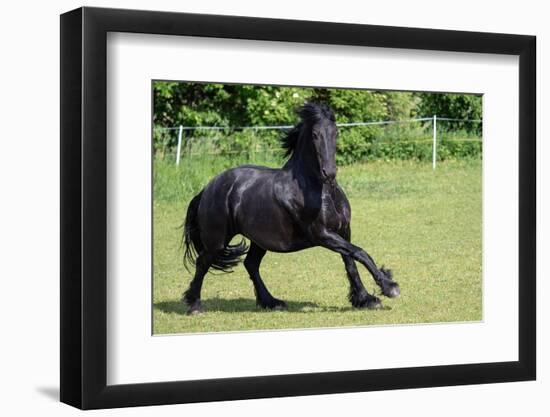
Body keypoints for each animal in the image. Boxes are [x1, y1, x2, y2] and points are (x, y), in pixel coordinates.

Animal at [182, 102, 402, 314]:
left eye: (336, 132)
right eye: (315, 134)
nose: (329, 173)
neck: (320, 191)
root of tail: (208, 188)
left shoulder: (343, 231)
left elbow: (351, 262)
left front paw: (366, 299)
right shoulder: (323, 235)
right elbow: (360, 253)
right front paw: (389, 287)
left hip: (259, 239)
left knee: (250, 264)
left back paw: (271, 302)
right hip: (218, 240)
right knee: (203, 263)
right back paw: (194, 306)